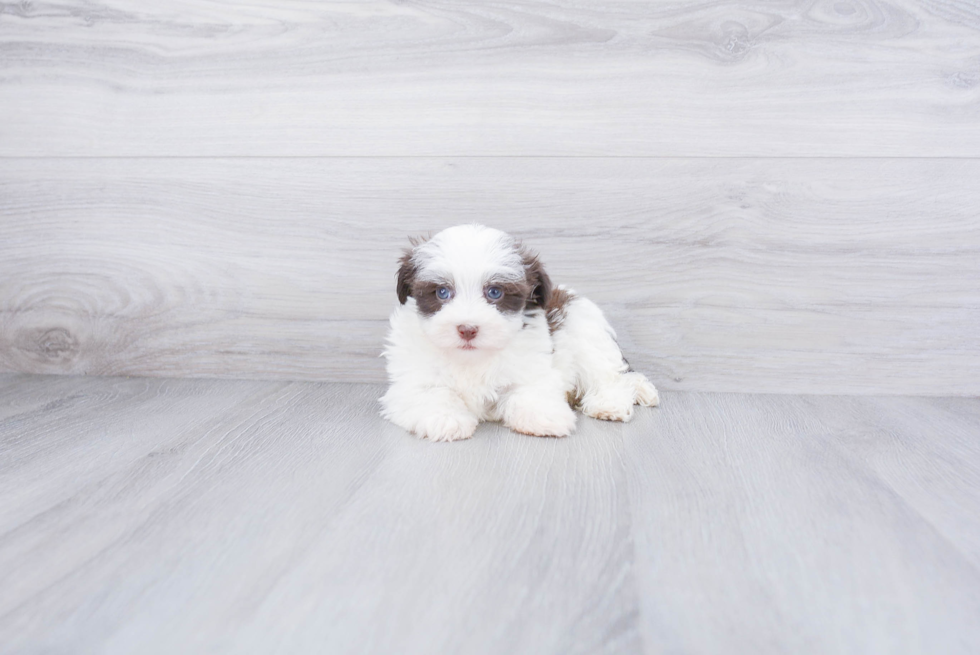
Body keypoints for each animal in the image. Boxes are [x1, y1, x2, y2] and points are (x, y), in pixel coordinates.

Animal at [378, 223, 660, 444]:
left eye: (495, 292)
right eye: (442, 292)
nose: (467, 329)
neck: (471, 357)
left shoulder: (533, 368)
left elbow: (531, 391)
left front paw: (544, 417)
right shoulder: (411, 381)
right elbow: (431, 394)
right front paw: (446, 419)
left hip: (587, 334)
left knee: (610, 377)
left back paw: (608, 404)